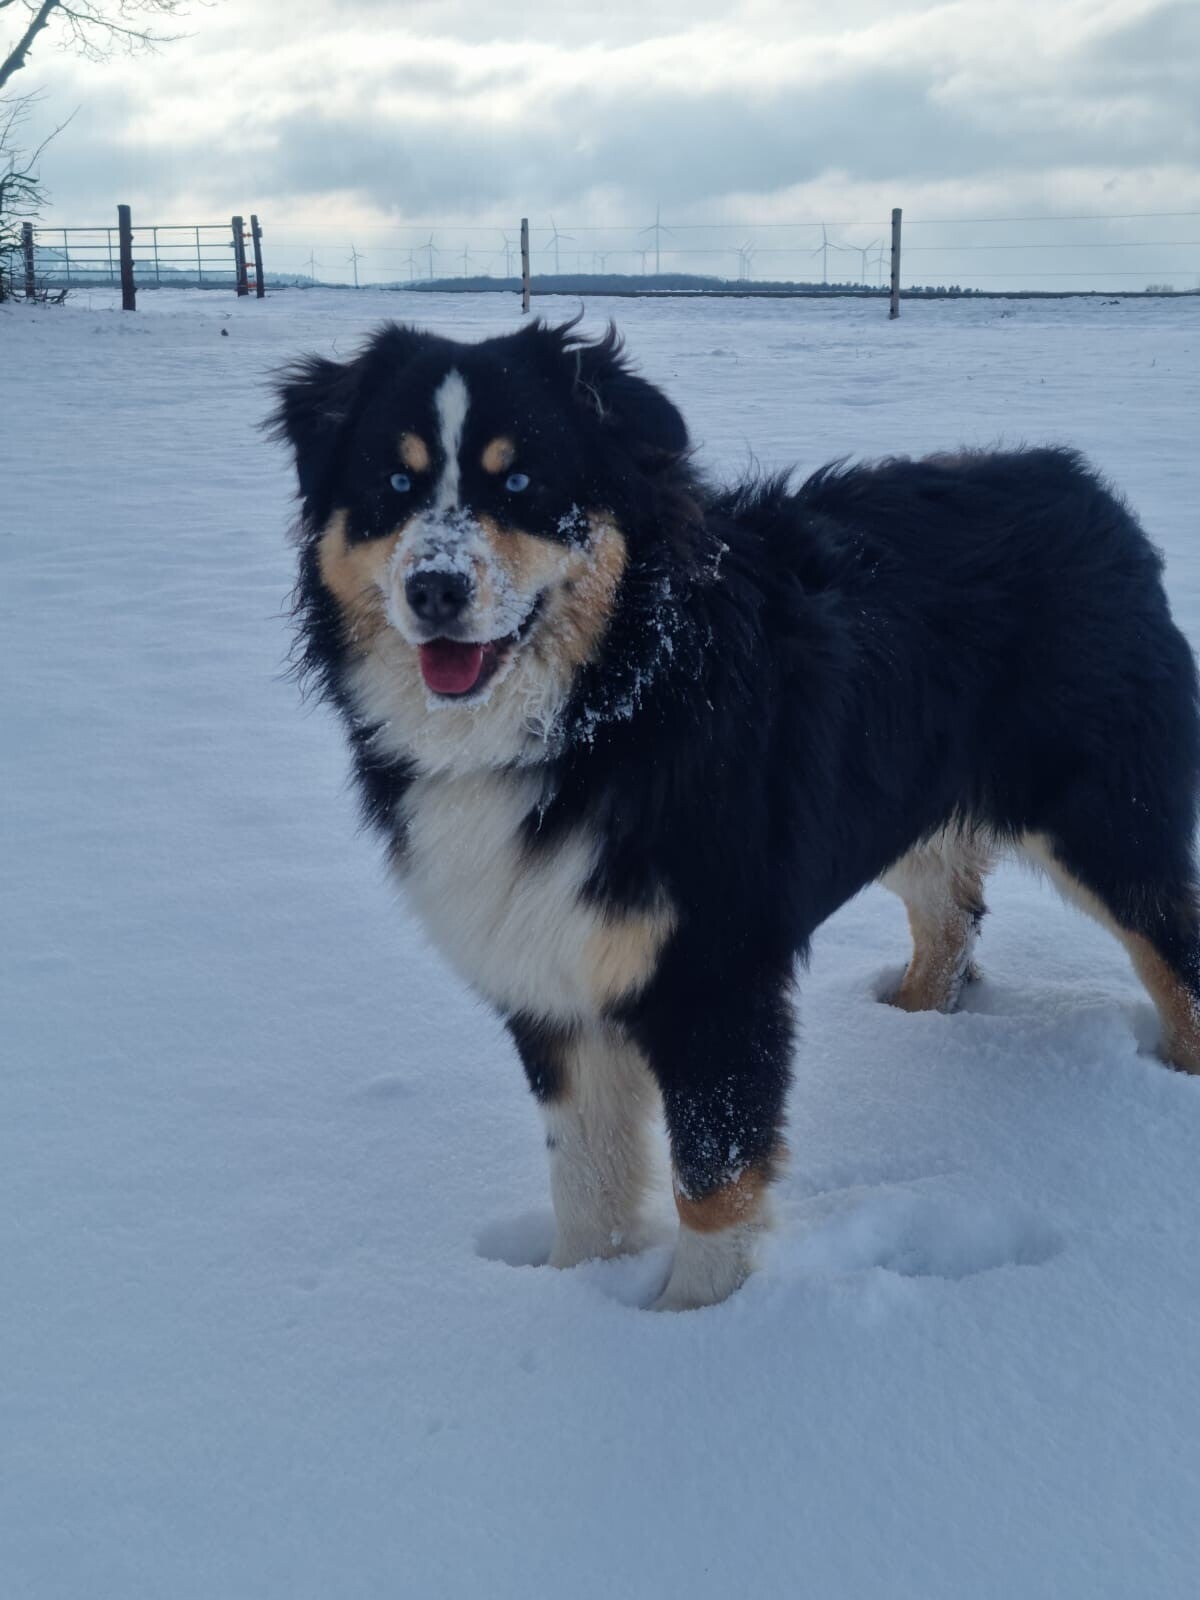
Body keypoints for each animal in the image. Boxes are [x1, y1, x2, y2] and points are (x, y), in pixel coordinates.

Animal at [272, 318, 1200, 1310]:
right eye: (392, 485)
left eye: (521, 483)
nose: (436, 589)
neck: (596, 716)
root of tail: (1083, 485)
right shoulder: (551, 973)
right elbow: (586, 1176)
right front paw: (577, 1297)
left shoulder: (715, 973)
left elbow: (712, 1182)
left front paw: (699, 1324)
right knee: (952, 913)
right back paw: (912, 1012)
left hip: (1101, 816)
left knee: (1170, 948)